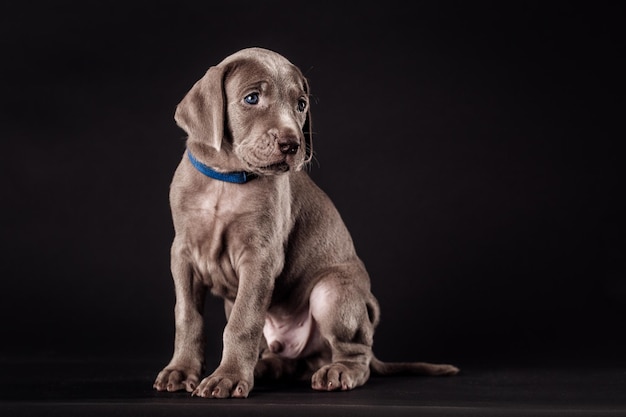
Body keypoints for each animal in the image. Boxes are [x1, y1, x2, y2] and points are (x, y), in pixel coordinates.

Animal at [152, 46, 458, 396]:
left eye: (301, 104)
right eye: (252, 98)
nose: (292, 145)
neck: (226, 178)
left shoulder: (260, 258)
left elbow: (243, 322)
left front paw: (227, 377)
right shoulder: (183, 255)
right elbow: (187, 317)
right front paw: (180, 370)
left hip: (332, 293)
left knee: (357, 355)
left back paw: (338, 371)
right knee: (285, 358)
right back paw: (266, 368)